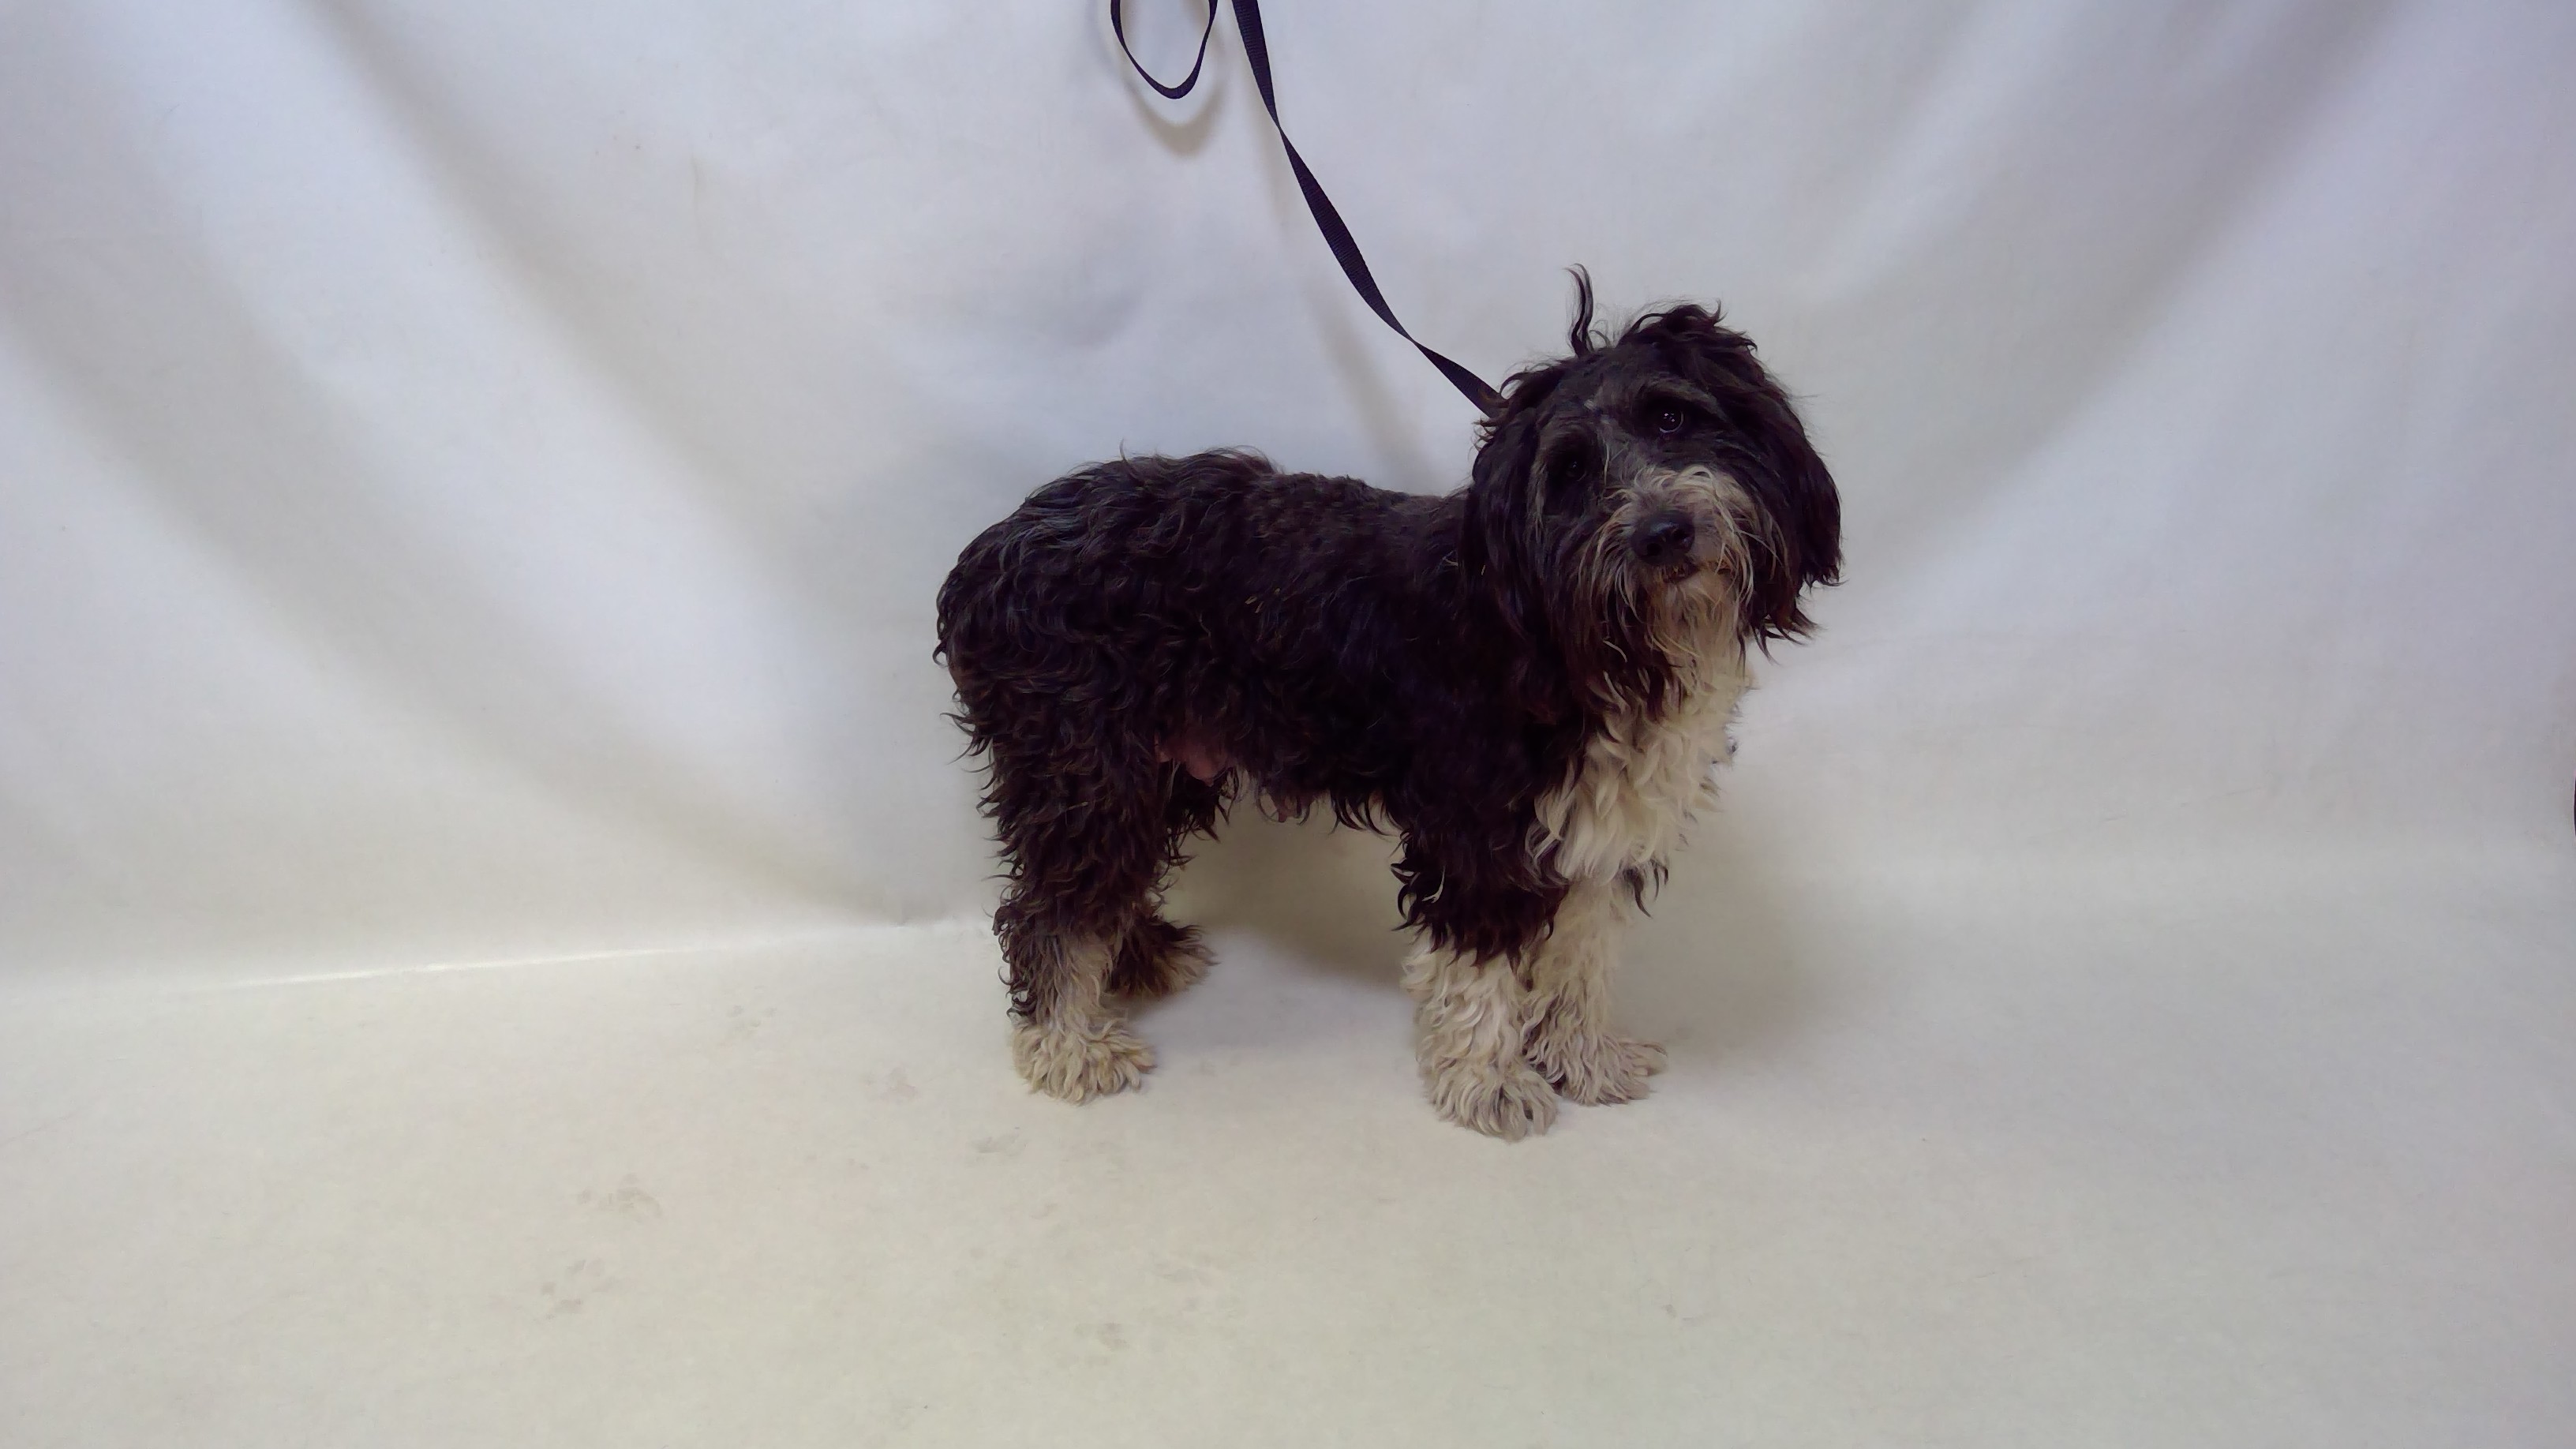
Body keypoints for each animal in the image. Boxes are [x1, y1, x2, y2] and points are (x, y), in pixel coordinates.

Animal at [935, 276, 1840, 1138]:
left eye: (1673, 418)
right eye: (1572, 472)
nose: (1664, 533)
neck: (1564, 626)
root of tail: (986, 554)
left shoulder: (1598, 828)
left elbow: (1581, 955)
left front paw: (1583, 1058)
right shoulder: (1479, 832)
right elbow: (1481, 965)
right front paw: (1488, 1083)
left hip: (1161, 770)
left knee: (1101, 890)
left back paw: (1139, 960)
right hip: (1088, 774)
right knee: (1049, 908)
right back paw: (1067, 1044)